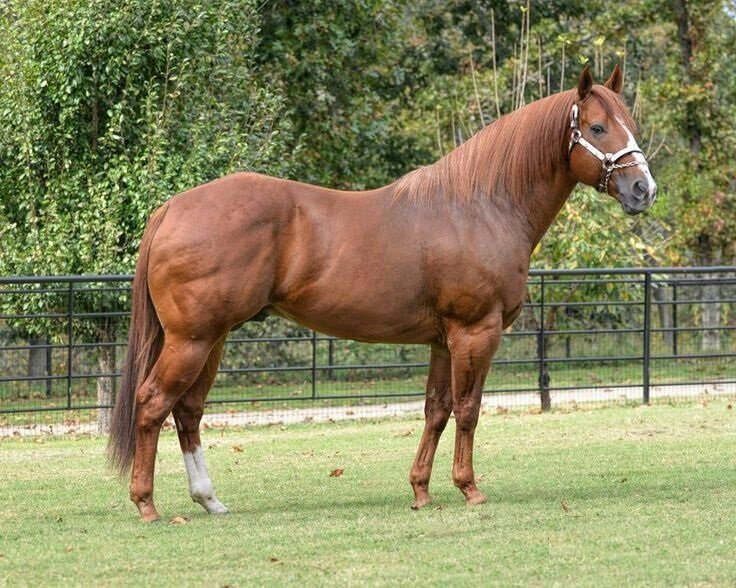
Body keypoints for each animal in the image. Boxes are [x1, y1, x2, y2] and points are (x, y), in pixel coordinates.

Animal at [108, 65, 656, 522]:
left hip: (212, 339)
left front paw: (421, 491)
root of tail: (172, 207)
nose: (643, 191)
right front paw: (469, 489)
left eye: (629, 121)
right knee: (153, 403)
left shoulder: (443, 340)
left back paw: (209, 500)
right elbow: (468, 409)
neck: (481, 205)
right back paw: (147, 505)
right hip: (193, 339)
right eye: (597, 128)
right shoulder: (475, 332)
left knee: (188, 410)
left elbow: (436, 410)